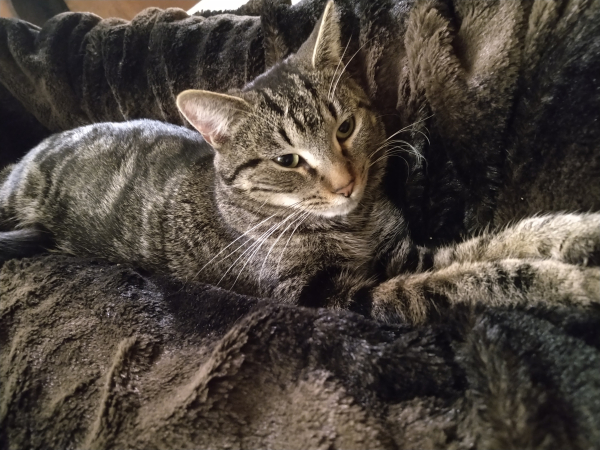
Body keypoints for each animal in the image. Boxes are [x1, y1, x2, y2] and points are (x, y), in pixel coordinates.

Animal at [0, 0, 596, 324]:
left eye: (345, 128)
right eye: (288, 159)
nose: (345, 182)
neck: (353, 224)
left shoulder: (403, 253)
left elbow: (492, 245)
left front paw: (575, 235)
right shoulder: (337, 296)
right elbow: (463, 280)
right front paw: (569, 283)